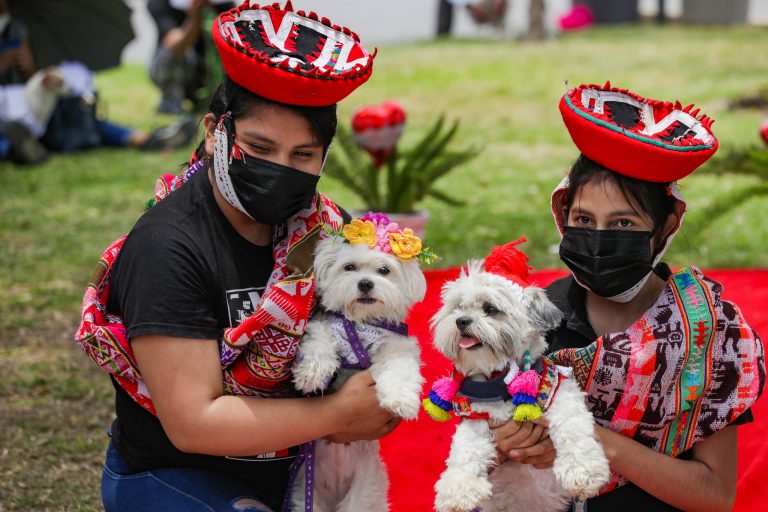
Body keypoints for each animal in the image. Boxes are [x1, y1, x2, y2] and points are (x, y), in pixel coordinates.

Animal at [288, 212, 436, 512]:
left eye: (384, 270)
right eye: (349, 267)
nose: (365, 283)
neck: (361, 323)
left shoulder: (396, 345)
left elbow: (400, 370)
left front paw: (401, 400)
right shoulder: (327, 326)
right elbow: (318, 341)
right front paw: (311, 374)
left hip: (364, 493)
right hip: (304, 495)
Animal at [424, 240, 608, 512]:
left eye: (490, 309)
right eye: (458, 307)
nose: (461, 321)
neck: (502, 381)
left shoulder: (557, 389)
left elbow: (573, 426)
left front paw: (584, 471)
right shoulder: (478, 416)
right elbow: (465, 449)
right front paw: (458, 489)